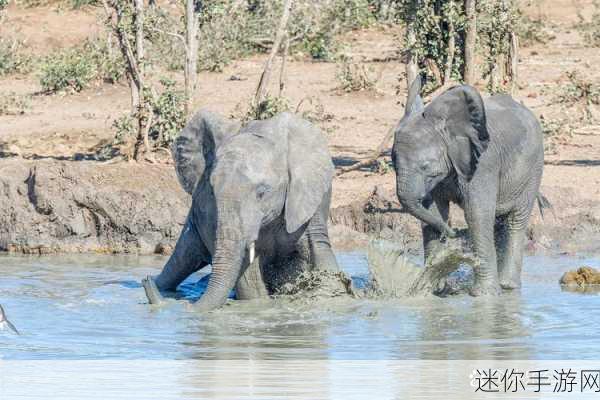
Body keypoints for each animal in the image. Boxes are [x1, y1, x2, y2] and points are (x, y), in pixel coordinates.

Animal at [392, 77, 548, 296]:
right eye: (393, 164)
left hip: (533, 168)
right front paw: (434, 289)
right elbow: (434, 213)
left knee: (515, 221)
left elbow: (476, 214)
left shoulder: (483, 164)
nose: (452, 234)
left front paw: (485, 295)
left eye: (425, 166)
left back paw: (508, 286)